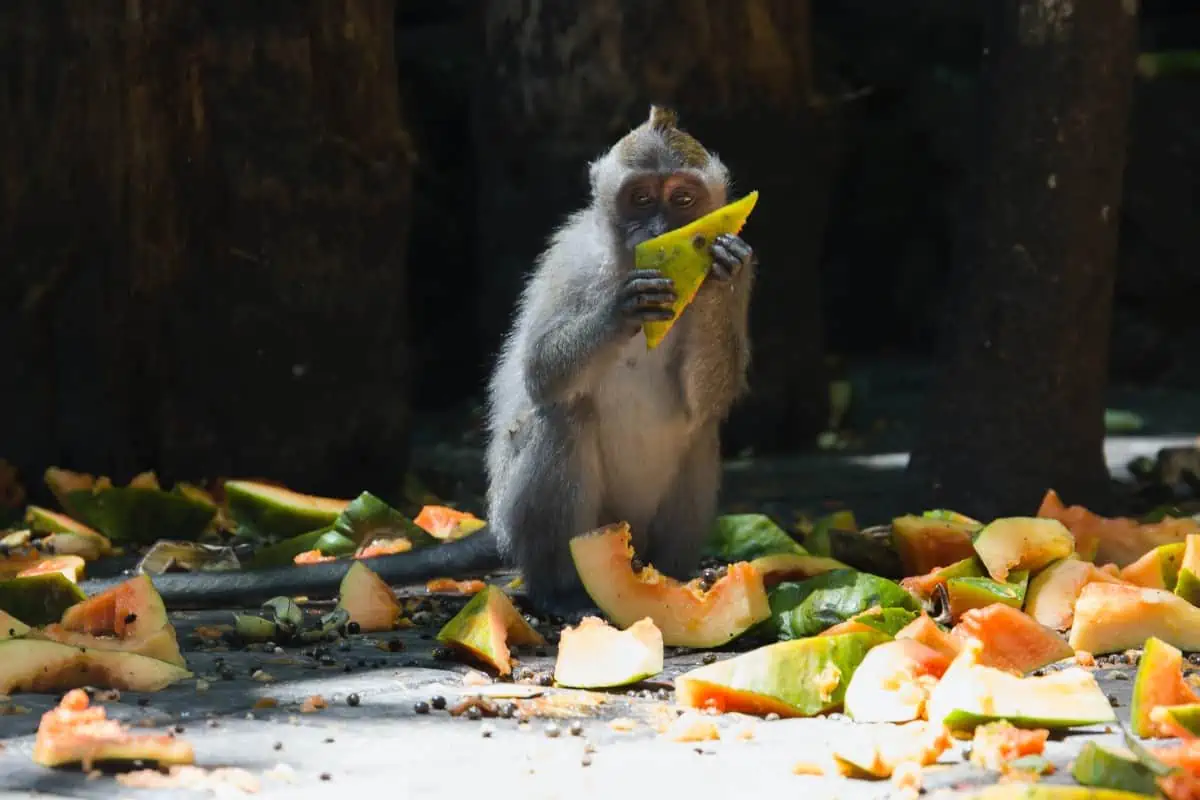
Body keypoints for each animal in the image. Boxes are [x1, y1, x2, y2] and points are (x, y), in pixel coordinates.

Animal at [79, 107, 756, 616]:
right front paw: (621, 310)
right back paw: (558, 590)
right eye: (640, 197)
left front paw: (717, 272)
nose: (661, 227)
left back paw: (673, 579)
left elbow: (705, 400)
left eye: (682, 198)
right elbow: (541, 373)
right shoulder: (574, 261)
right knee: (561, 418)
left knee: (700, 436)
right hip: (526, 519)